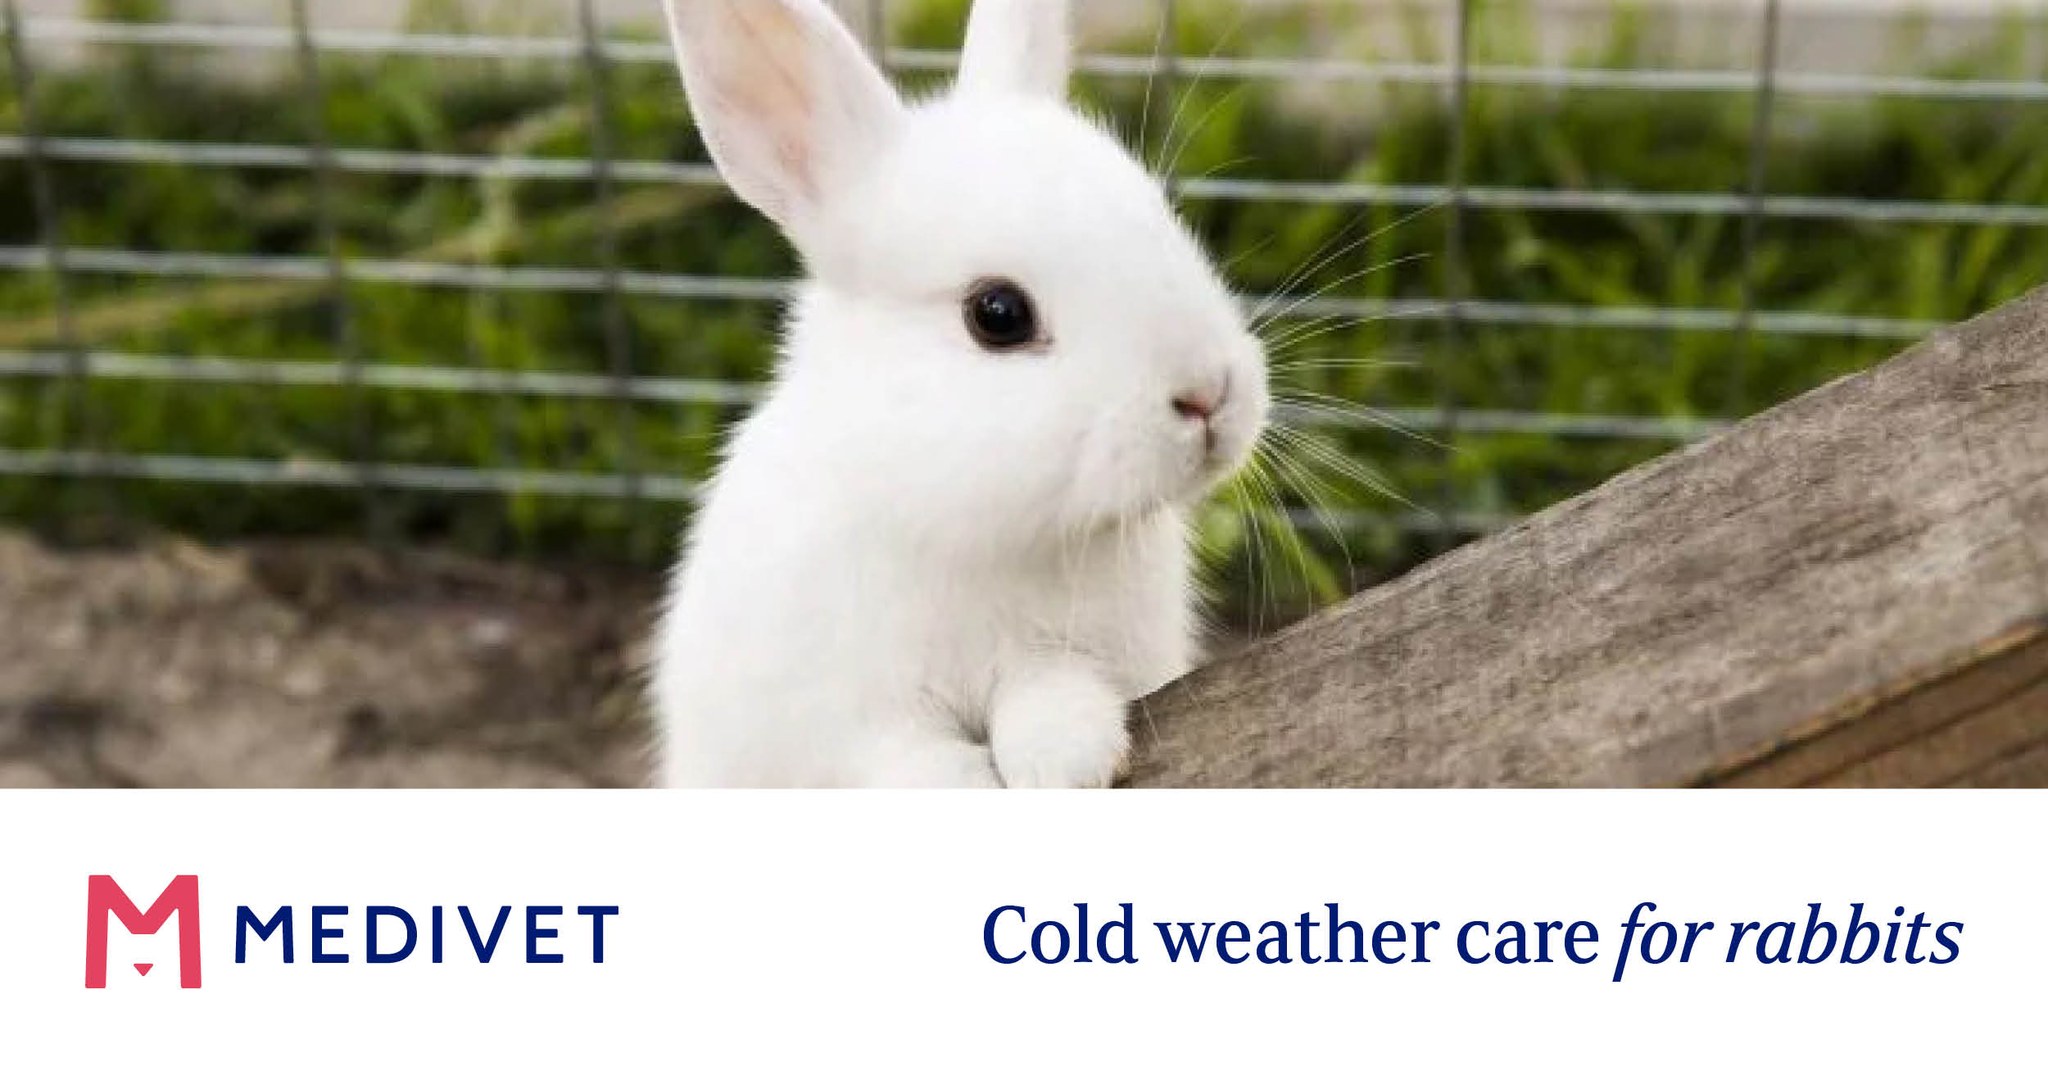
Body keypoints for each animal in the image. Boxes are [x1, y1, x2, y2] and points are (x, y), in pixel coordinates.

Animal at [650, 0, 1269, 787]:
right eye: (997, 314)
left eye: (1164, 216)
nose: (1208, 394)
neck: (973, 526)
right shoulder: (843, 721)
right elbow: (901, 757)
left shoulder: (1073, 653)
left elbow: (1051, 688)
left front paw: (1066, 758)